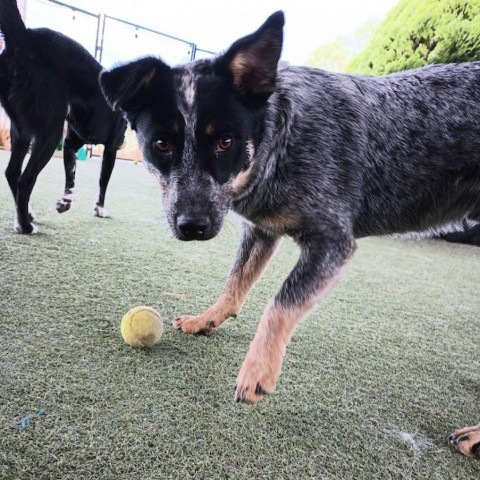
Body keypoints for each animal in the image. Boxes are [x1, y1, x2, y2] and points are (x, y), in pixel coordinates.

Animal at [0, 0, 126, 232]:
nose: (124, 141)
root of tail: (23, 35)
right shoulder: (110, 150)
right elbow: (103, 182)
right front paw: (100, 208)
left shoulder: (70, 145)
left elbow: (71, 178)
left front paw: (66, 201)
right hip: (50, 133)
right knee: (25, 179)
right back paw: (25, 225)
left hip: (20, 129)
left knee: (12, 172)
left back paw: (27, 214)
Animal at [100, 10, 480, 458]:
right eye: (161, 144)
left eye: (225, 141)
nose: (192, 226)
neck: (283, 138)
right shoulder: (261, 230)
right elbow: (235, 283)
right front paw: (207, 319)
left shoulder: (332, 241)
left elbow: (280, 303)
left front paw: (258, 370)